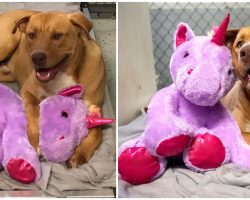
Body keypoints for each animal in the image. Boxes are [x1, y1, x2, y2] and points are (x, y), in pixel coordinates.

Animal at [0, 10, 105, 167]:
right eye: (32, 34)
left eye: (57, 35)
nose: (36, 57)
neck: (64, 73)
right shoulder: (27, 91)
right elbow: (33, 112)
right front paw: (35, 140)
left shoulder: (94, 107)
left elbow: (98, 132)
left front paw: (80, 153)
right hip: (8, 42)